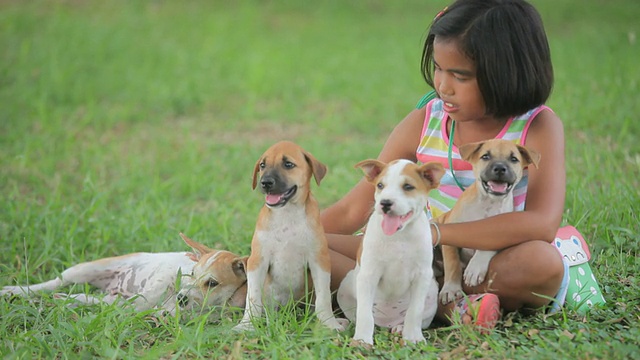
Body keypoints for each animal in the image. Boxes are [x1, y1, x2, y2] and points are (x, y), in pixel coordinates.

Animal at [1, 232, 248, 320]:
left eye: (212, 283)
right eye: (192, 274)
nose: (181, 297)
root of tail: (113, 286)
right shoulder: (168, 276)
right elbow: (160, 288)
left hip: (110, 297)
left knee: (94, 300)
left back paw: (64, 301)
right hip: (82, 270)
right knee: (54, 283)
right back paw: (17, 291)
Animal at [234, 141, 344, 332]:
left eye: (288, 164)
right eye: (262, 165)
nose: (265, 182)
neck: (287, 213)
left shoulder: (319, 259)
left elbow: (323, 297)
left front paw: (329, 323)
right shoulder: (257, 260)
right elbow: (252, 296)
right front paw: (246, 325)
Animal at [340, 159, 444, 348]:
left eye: (408, 187)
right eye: (380, 185)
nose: (385, 203)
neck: (399, 236)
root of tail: (387, 323)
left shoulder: (422, 275)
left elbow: (415, 311)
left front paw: (413, 337)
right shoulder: (368, 274)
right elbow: (364, 314)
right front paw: (362, 339)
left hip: (432, 293)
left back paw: (400, 328)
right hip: (346, 286)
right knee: (358, 315)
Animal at [436, 139, 540, 306]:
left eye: (514, 159)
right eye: (485, 156)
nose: (500, 168)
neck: (488, 203)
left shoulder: (504, 230)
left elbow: (488, 246)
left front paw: (475, 268)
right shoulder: (449, 230)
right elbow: (452, 263)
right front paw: (451, 289)